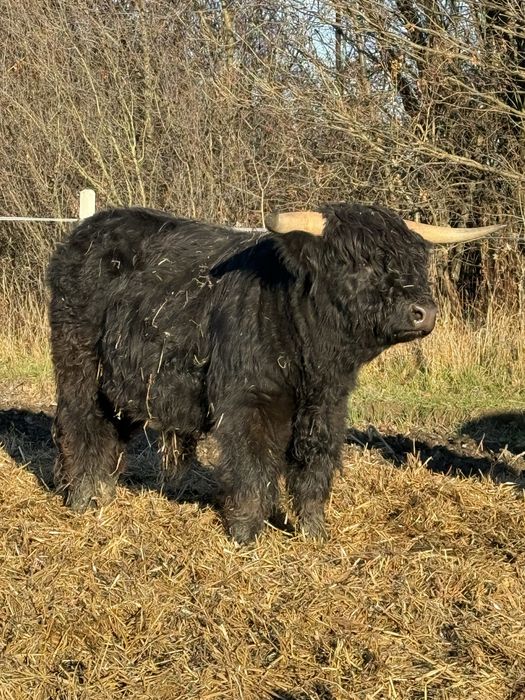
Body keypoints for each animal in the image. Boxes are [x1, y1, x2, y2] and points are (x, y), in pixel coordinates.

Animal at [47, 203, 502, 543]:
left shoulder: (327, 405)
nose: (423, 312)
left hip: (125, 381)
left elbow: (314, 466)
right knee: (79, 424)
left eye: (413, 262)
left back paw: (104, 493)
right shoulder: (251, 402)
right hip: (79, 365)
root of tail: (82, 233)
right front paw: (246, 535)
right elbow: (254, 466)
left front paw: (314, 533)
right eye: (358, 263)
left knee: (112, 431)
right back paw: (81, 498)